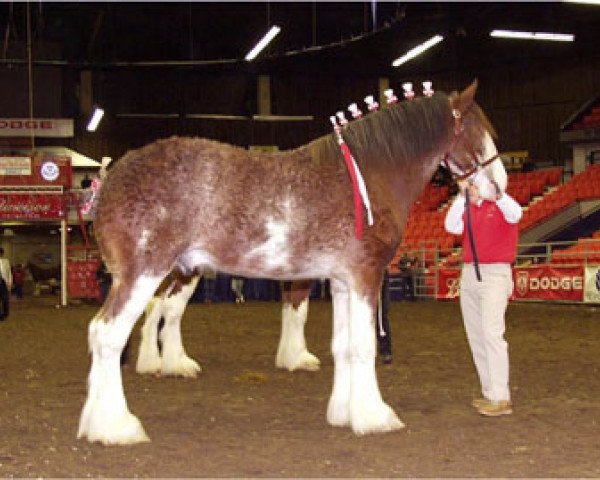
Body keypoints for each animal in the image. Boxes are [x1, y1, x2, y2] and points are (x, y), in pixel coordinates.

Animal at [77, 80, 504, 444]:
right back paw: (117, 425)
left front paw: (344, 413)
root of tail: (110, 178)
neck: (370, 175)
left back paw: (99, 421)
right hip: (145, 273)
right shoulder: (365, 277)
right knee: (109, 334)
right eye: (480, 132)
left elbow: (342, 346)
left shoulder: (342, 281)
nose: (500, 186)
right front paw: (375, 417)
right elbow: (363, 346)